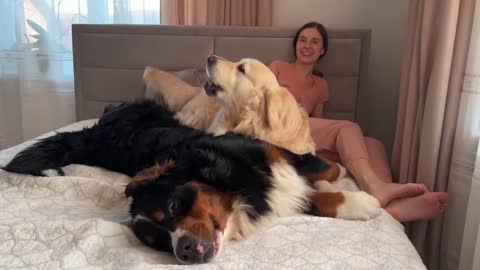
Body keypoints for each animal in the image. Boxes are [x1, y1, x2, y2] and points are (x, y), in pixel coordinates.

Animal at [1, 100, 380, 264]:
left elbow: (324, 168)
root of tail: (94, 134)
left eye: (172, 205)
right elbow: (308, 197)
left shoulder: (271, 154)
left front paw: (347, 186)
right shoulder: (269, 194)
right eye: (156, 242)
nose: (182, 249)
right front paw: (355, 202)